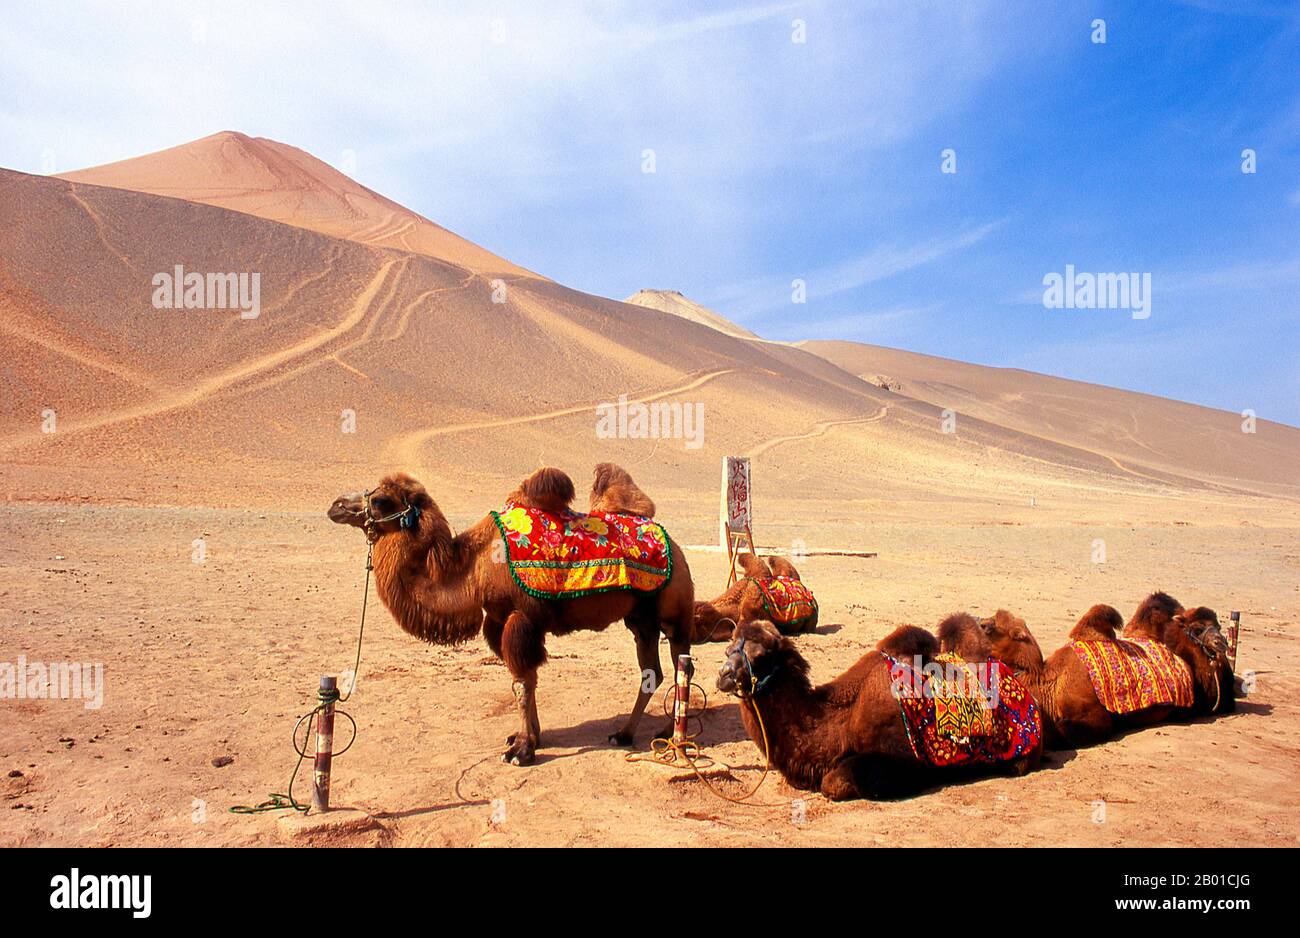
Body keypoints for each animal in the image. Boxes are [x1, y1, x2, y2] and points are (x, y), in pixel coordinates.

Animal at [327, 459, 691, 758]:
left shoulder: (520, 618)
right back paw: (625, 734)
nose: (335, 505)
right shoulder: (498, 620)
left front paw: (522, 750)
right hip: (640, 617)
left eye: (379, 500)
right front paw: (530, 737)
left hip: (674, 610)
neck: (475, 567)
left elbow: (521, 682)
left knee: (680, 662)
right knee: (651, 671)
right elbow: (527, 677)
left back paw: (670, 733)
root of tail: (671, 541)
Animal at [717, 613, 1040, 795]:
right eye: (728, 648)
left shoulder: (901, 756)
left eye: (760, 655)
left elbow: (832, 783)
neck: (840, 719)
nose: (723, 676)